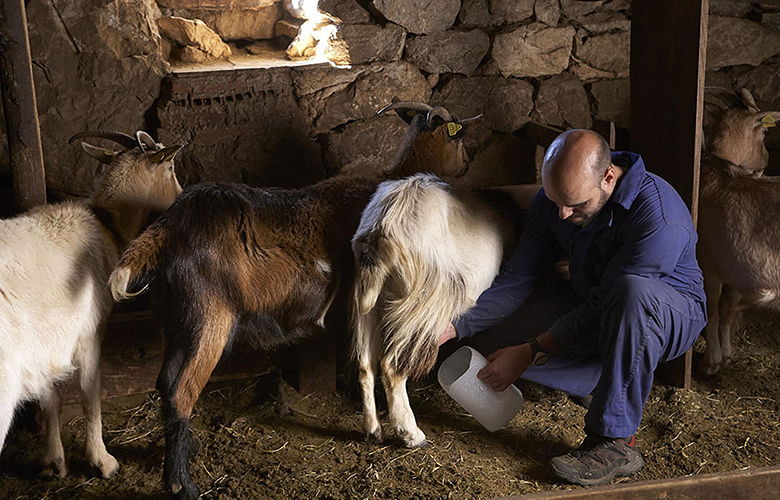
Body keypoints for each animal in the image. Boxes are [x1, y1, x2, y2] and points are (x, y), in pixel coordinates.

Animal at [0, 131, 183, 478]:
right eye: (171, 168)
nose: (181, 196)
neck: (107, 223)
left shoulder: (49, 341)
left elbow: (52, 399)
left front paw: (54, 463)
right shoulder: (88, 332)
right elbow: (90, 395)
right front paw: (103, 461)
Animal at [107, 101, 478, 500]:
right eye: (459, 136)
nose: (467, 164)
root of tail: (167, 229)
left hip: (176, 320)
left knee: (164, 383)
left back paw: (188, 448)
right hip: (208, 318)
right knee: (181, 393)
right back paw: (182, 484)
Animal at [350, 174, 516, 448]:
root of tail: (382, 227)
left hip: (368, 305)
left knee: (365, 364)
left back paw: (373, 430)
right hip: (423, 305)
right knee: (392, 367)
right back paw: (411, 434)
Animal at [696, 88, 780, 374]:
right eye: (764, 132)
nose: (766, 161)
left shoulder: (708, 264)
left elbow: (711, 309)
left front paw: (711, 362)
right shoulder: (731, 272)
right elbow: (724, 309)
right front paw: (725, 355)